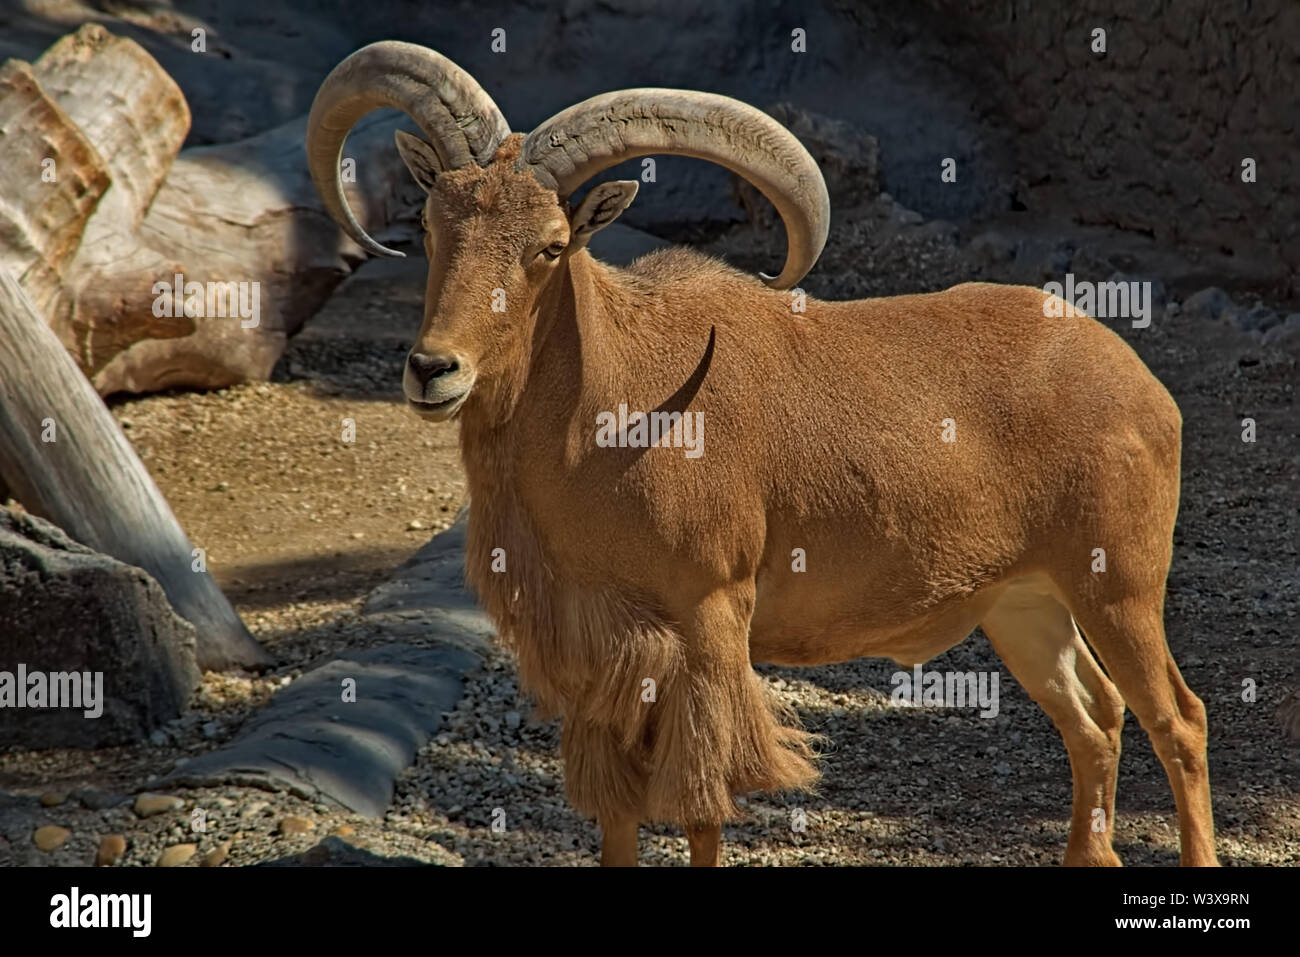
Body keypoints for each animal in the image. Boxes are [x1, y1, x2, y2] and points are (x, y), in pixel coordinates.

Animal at [304, 42, 1216, 868]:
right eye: (431, 226)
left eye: (551, 245)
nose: (433, 369)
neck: (609, 413)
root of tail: (1143, 385)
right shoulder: (599, 652)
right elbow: (617, 814)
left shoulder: (710, 617)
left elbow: (704, 800)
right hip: (1025, 604)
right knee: (1096, 718)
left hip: (1118, 585)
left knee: (1178, 717)